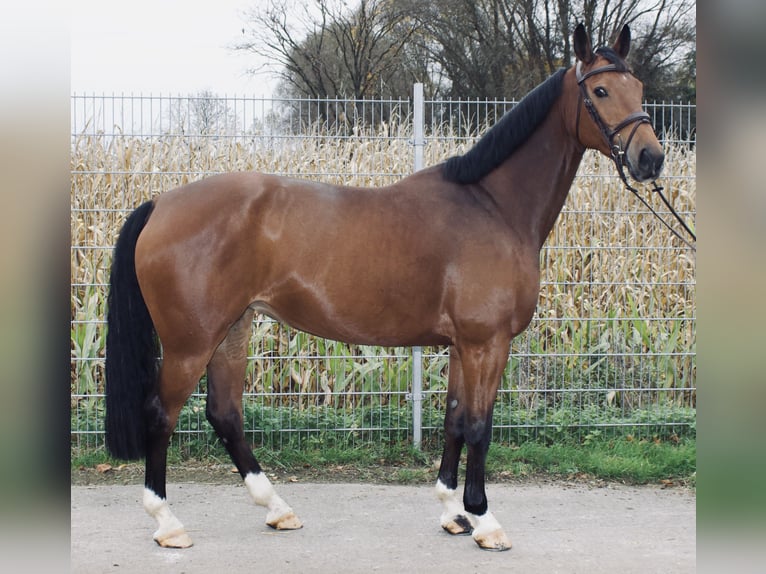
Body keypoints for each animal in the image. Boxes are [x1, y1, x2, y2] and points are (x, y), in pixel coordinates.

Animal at [103, 24, 664, 556]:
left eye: (639, 87)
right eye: (600, 90)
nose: (651, 159)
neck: (492, 206)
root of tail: (161, 203)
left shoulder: (463, 346)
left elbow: (454, 420)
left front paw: (453, 513)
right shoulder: (487, 344)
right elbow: (479, 427)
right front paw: (485, 520)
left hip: (232, 331)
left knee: (225, 414)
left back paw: (278, 508)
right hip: (190, 343)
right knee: (162, 414)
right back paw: (168, 523)